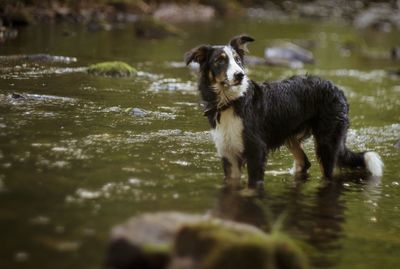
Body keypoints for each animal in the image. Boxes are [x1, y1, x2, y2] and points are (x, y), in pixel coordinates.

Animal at [185, 34, 384, 186]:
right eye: (219, 61)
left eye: (238, 60)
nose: (240, 75)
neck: (230, 102)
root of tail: (337, 89)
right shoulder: (229, 156)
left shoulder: (256, 151)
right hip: (292, 138)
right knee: (304, 162)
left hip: (327, 144)